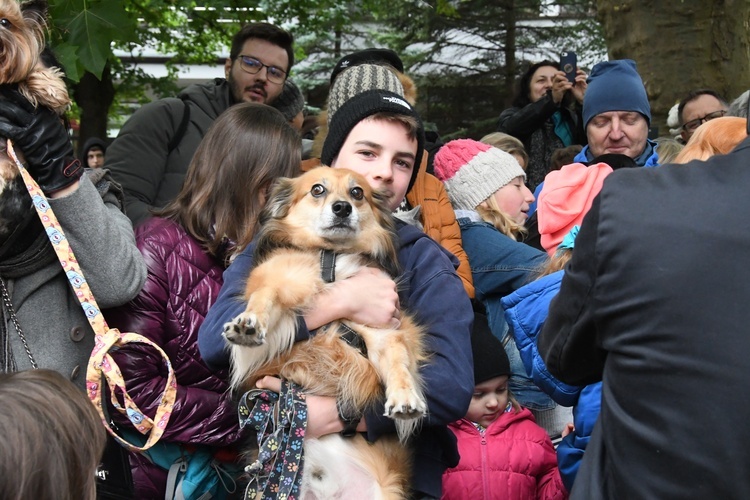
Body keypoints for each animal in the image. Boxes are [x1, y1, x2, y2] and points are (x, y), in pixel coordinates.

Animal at [225, 167, 428, 496]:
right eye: (317, 189)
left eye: (357, 193)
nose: (342, 208)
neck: (330, 260)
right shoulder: (277, 283)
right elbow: (264, 297)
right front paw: (249, 324)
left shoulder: (384, 329)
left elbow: (398, 363)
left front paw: (405, 398)